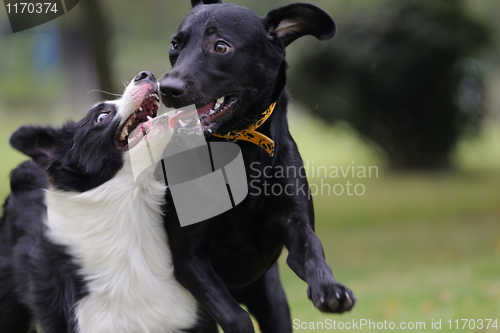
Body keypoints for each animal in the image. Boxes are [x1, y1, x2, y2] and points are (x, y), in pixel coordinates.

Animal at [160, 0, 356, 332]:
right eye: (176, 44)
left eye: (221, 46)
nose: (166, 88)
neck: (239, 149)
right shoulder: (189, 259)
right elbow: (235, 316)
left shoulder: (294, 223)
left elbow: (313, 254)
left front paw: (330, 289)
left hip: (272, 299)